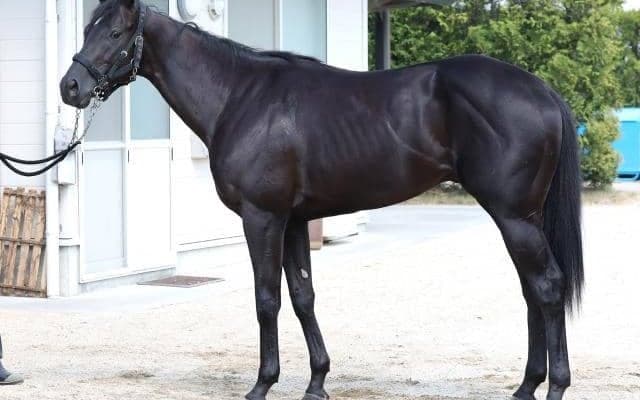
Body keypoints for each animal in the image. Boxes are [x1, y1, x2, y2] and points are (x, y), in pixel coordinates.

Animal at [60, 1, 583, 399]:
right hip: (523, 217)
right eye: (86, 27)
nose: (71, 87)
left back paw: (554, 386)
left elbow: (266, 298)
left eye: (116, 31)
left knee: (547, 286)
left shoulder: (263, 218)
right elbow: (302, 297)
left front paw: (262, 384)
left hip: (514, 217)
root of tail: (541, 90)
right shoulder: (294, 221)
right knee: (532, 291)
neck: (238, 97)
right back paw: (526, 386)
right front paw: (316, 382)